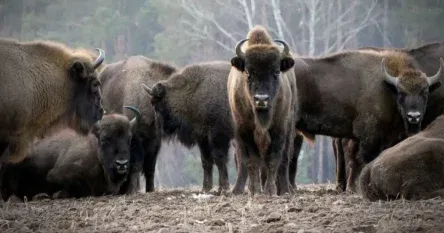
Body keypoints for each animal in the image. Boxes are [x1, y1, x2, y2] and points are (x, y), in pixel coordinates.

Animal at [99, 55, 179, 194]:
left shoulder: (154, 141)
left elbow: (150, 168)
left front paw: (150, 190)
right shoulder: (136, 138)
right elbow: (136, 165)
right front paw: (132, 191)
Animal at [227, 25, 296, 197]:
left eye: (276, 71)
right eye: (247, 72)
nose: (261, 99)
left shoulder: (279, 128)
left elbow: (273, 160)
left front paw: (271, 191)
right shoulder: (244, 131)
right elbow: (252, 161)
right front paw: (256, 191)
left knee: (284, 160)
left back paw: (285, 190)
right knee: (243, 162)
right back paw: (240, 190)